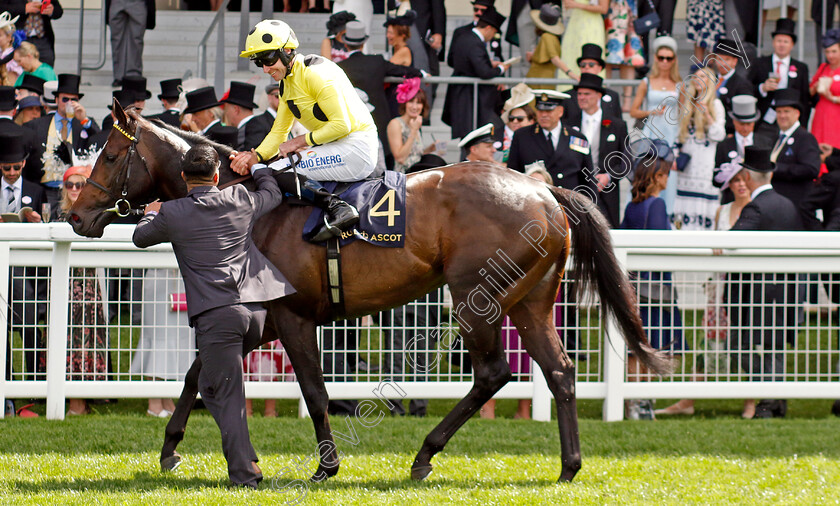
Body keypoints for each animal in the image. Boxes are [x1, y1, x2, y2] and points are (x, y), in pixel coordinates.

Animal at [69, 101, 672, 484]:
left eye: (109, 155)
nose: (75, 216)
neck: (250, 207)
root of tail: (544, 190)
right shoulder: (257, 317)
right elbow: (197, 374)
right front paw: (170, 450)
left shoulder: (292, 317)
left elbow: (313, 392)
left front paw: (326, 466)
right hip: (532, 300)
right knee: (560, 371)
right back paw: (568, 466)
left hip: (476, 297)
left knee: (494, 372)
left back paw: (425, 455)